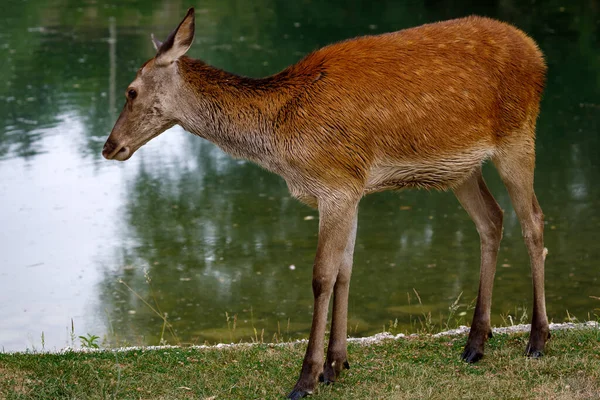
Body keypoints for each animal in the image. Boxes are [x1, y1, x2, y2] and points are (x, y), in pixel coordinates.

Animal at [102, 7, 548, 398]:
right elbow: (344, 271)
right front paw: (337, 365)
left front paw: (306, 378)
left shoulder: (335, 186)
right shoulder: (349, 190)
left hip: (518, 135)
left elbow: (321, 276)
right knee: (492, 220)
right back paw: (475, 343)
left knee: (533, 221)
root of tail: (537, 52)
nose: (109, 146)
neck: (283, 142)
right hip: (461, 169)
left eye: (130, 90)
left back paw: (538, 339)